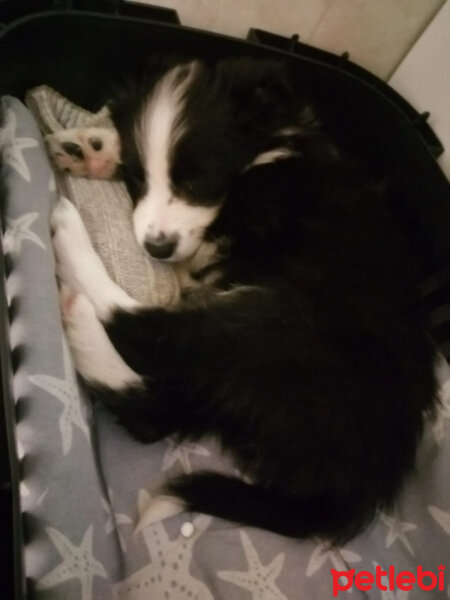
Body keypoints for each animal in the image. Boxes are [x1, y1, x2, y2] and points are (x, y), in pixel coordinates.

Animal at [48, 57, 436, 544]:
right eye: (138, 179)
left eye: (196, 177)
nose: (156, 248)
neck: (268, 151)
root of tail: (355, 487)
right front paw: (95, 147)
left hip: (275, 325)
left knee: (148, 335)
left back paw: (70, 250)